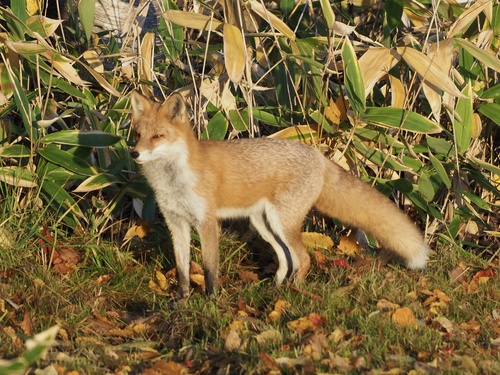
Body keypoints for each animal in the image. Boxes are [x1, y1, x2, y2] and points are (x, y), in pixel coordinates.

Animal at [130, 92, 430, 298]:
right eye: (137, 134)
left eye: (158, 136)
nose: (134, 153)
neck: (174, 181)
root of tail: (318, 156)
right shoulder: (176, 223)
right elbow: (182, 269)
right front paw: (181, 299)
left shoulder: (207, 223)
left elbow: (209, 268)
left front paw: (211, 300)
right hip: (265, 224)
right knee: (287, 259)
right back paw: (276, 289)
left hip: (282, 222)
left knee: (303, 258)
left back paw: (295, 292)